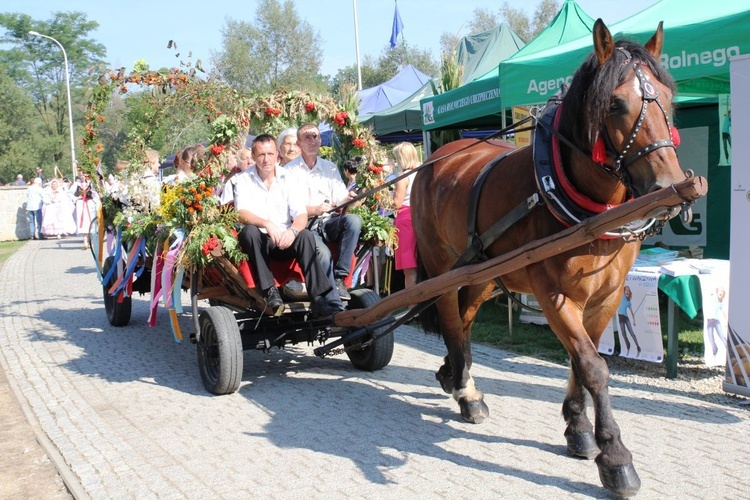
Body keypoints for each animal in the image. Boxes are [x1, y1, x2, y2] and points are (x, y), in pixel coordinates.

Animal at [414, 19, 692, 496]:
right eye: (616, 103)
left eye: (667, 97)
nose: (668, 186)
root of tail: (437, 158)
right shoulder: (556, 297)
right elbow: (594, 367)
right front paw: (615, 456)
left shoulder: (606, 297)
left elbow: (581, 361)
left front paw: (578, 429)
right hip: (441, 268)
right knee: (451, 320)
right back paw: (467, 393)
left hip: (482, 274)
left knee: (465, 323)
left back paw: (457, 375)